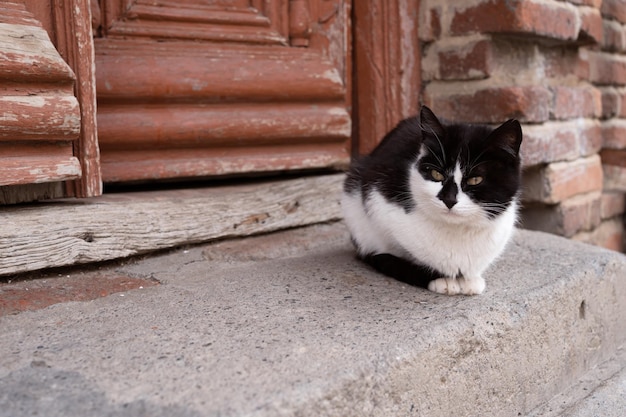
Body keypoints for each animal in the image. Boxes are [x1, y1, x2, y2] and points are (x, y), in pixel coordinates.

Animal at [342, 105, 520, 294]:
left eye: (475, 179)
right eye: (436, 174)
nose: (449, 199)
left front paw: (469, 279)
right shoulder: (376, 197)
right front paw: (442, 278)